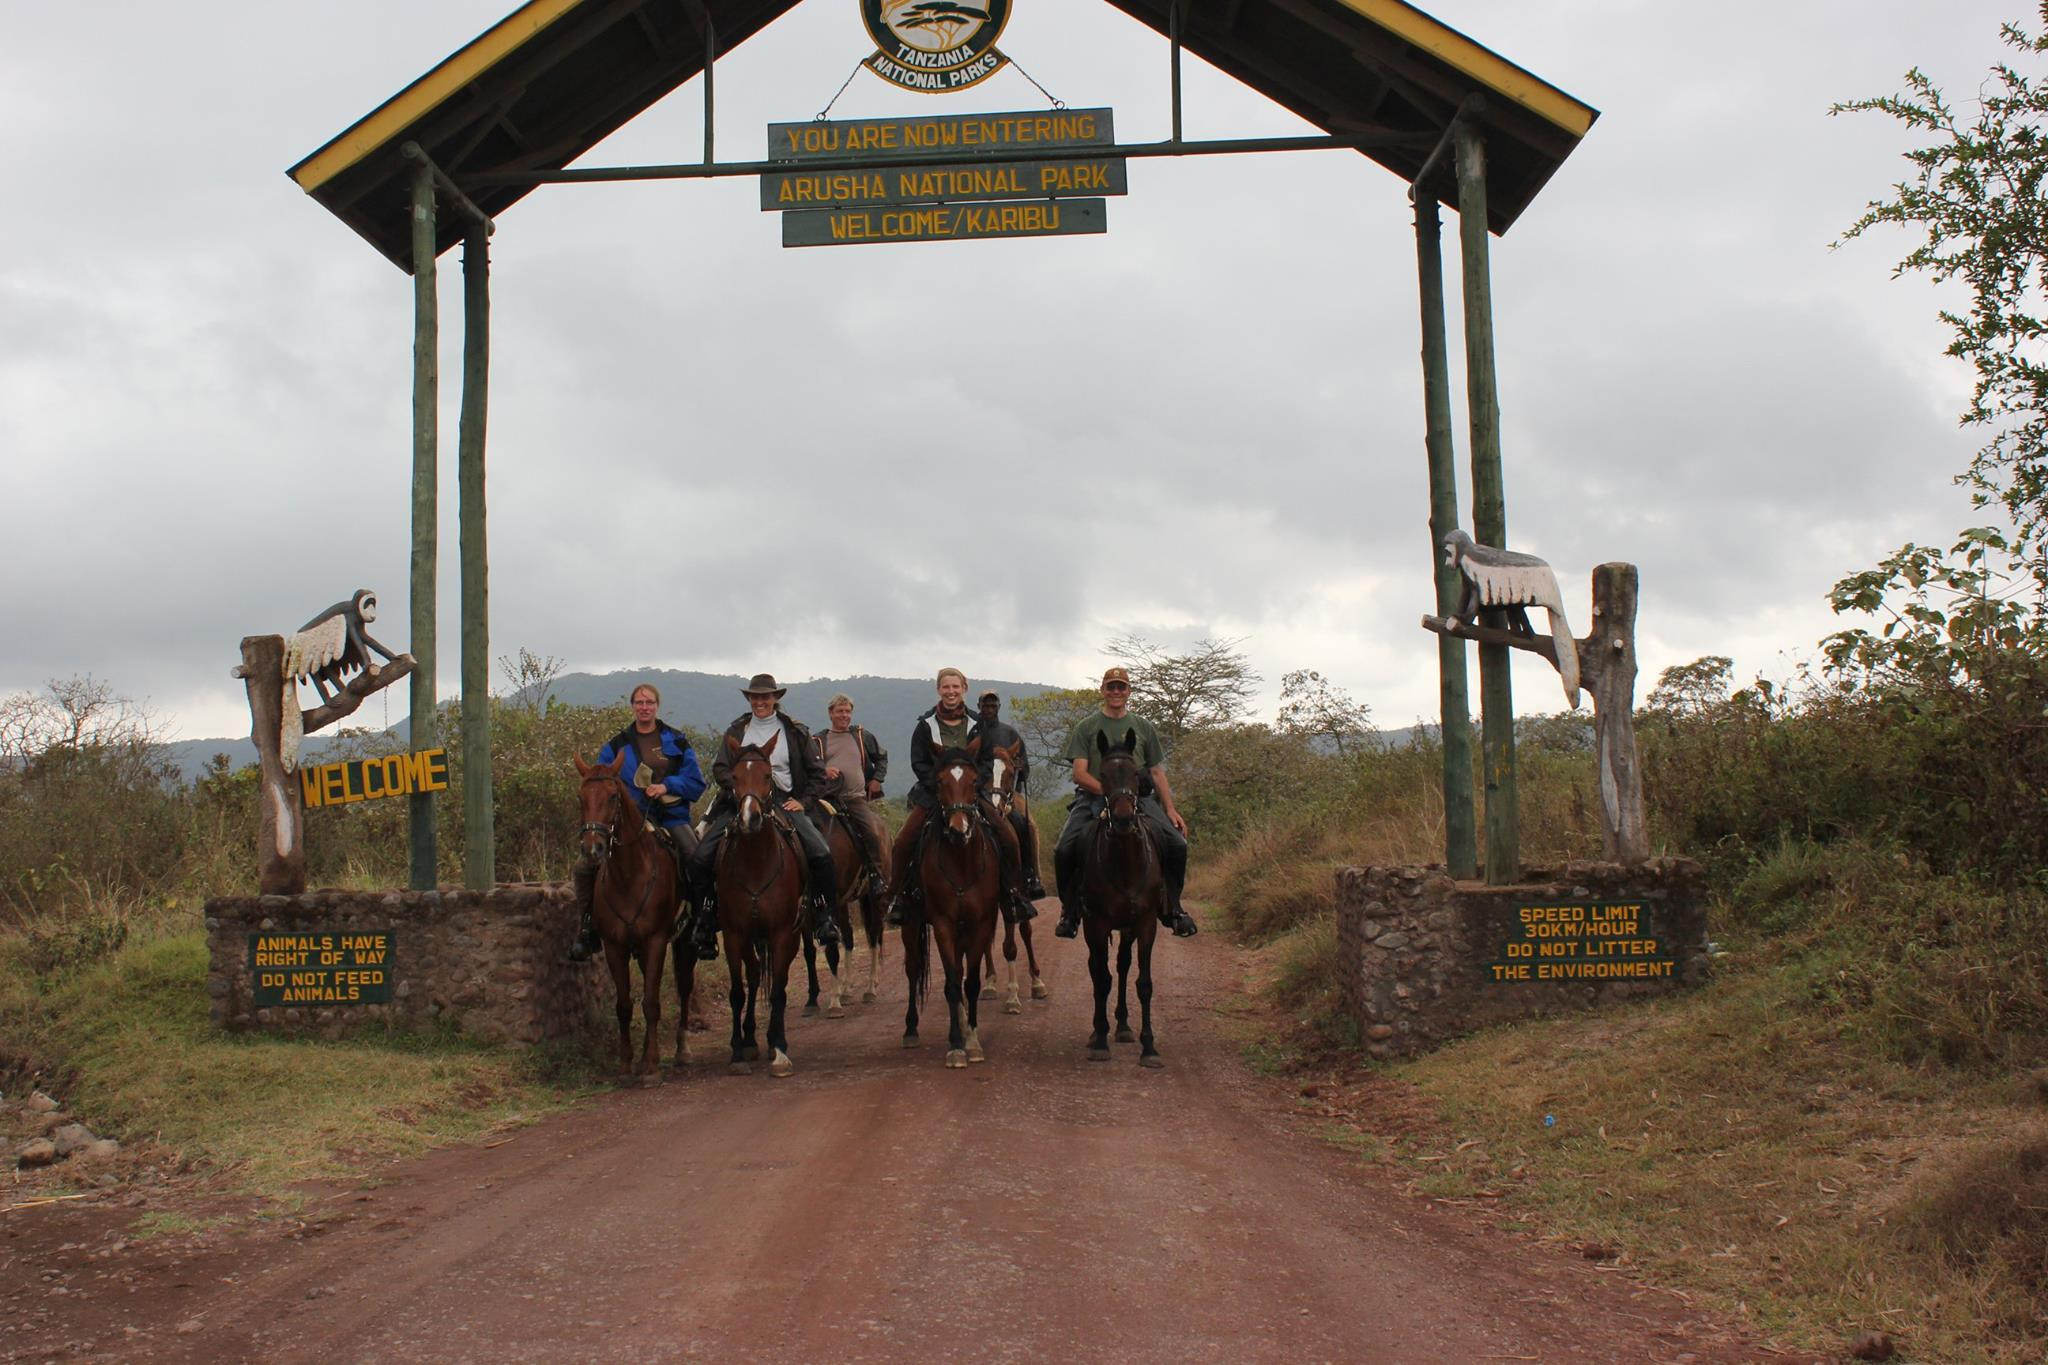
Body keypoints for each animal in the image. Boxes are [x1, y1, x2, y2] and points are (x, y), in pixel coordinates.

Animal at [573, 753, 692, 1080]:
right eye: (581, 797)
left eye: (613, 796)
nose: (592, 849)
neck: (629, 875)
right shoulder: (616, 946)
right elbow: (624, 1005)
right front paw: (627, 1063)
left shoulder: (656, 941)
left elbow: (651, 1002)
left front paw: (651, 1065)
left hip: (683, 941)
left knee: (685, 986)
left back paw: (682, 1049)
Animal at [712, 736, 806, 1080]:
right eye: (734, 778)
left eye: (768, 776)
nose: (749, 819)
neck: (755, 861)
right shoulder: (734, 934)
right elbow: (737, 991)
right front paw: (738, 1053)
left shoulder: (782, 933)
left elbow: (778, 990)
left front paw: (779, 1051)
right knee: (753, 977)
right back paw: (751, 1039)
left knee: (777, 983)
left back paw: (772, 1040)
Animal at [909, 736, 1003, 1064]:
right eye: (939, 782)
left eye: (975, 781)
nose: (958, 828)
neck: (962, 861)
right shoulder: (943, 924)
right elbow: (951, 982)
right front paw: (955, 1045)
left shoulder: (981, 922)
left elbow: (970, 982)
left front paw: (972, 1041)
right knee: (912, 969)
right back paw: (910, 1030)